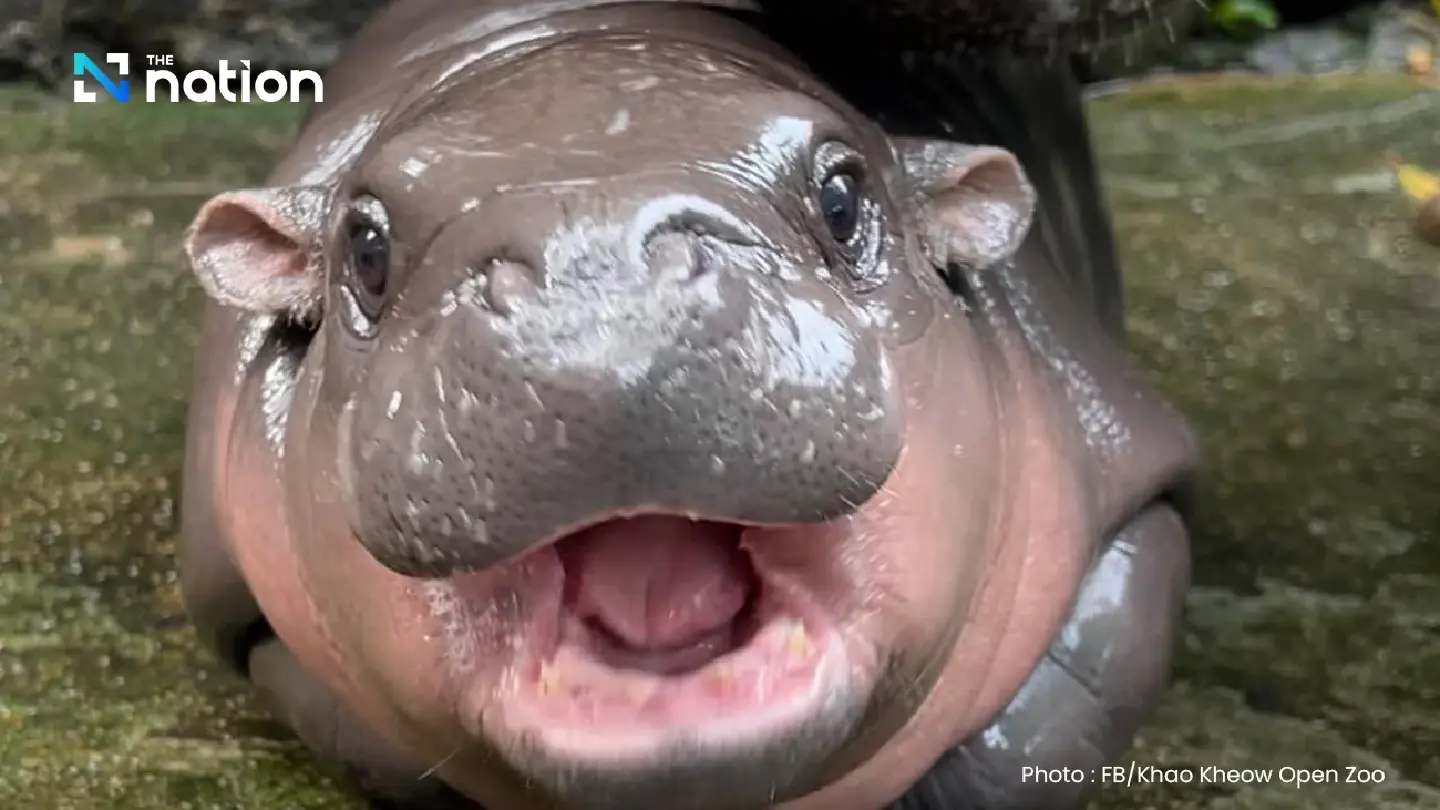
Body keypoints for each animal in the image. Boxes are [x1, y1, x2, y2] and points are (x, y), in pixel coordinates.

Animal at [175, 1, 1200, 808]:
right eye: (366, 247)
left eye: (843, 197)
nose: (599, 292)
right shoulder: (250, 617)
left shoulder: (1135, 484)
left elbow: (1028, 738)